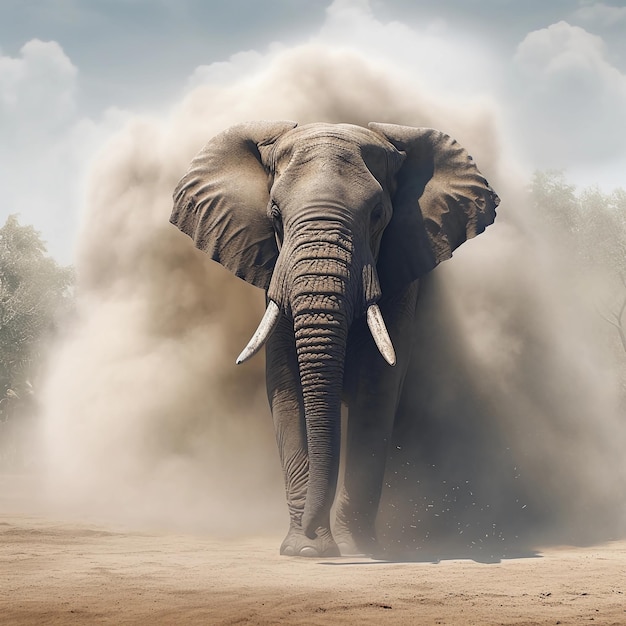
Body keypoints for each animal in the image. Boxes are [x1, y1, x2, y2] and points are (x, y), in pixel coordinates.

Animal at [167, 120, 498, 556]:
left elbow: (377, 391)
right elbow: (286, 388)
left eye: (378, 215)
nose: (313, 534)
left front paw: (356, 551)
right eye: (275, 215)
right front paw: (306, 550)